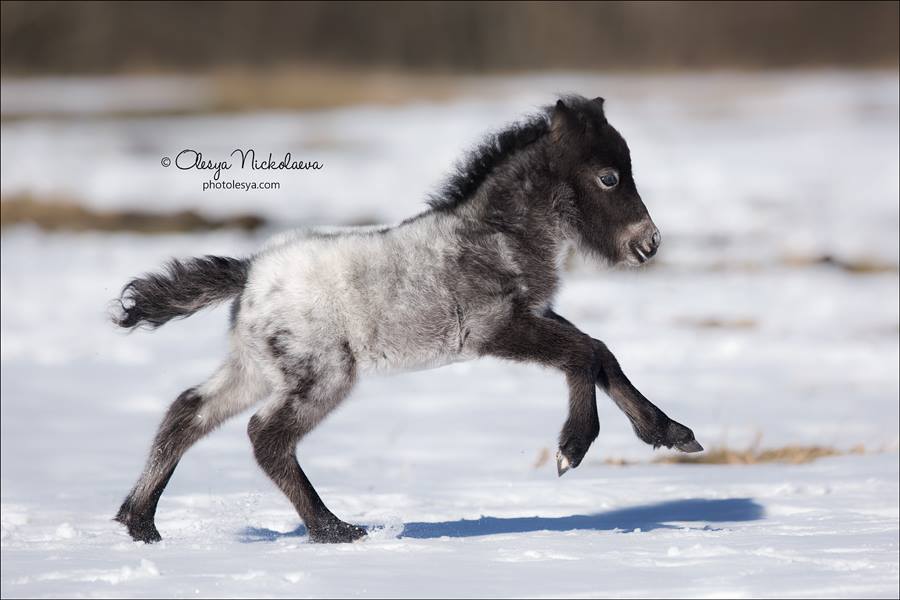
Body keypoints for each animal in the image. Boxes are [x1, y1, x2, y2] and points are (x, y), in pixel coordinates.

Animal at [114, 95, 704, 544]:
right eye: (608, 177)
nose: (649, 244)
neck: (497, 235)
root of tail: (251, 274)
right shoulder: (497, 328)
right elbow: (582, 356)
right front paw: (570, 450)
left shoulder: (535, 315)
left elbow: (602, 354)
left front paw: (671, 432)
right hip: (321, 374)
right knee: (266, 435)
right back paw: (335, 530)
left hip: (256, 369)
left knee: (188, 411)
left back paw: (138, 523)